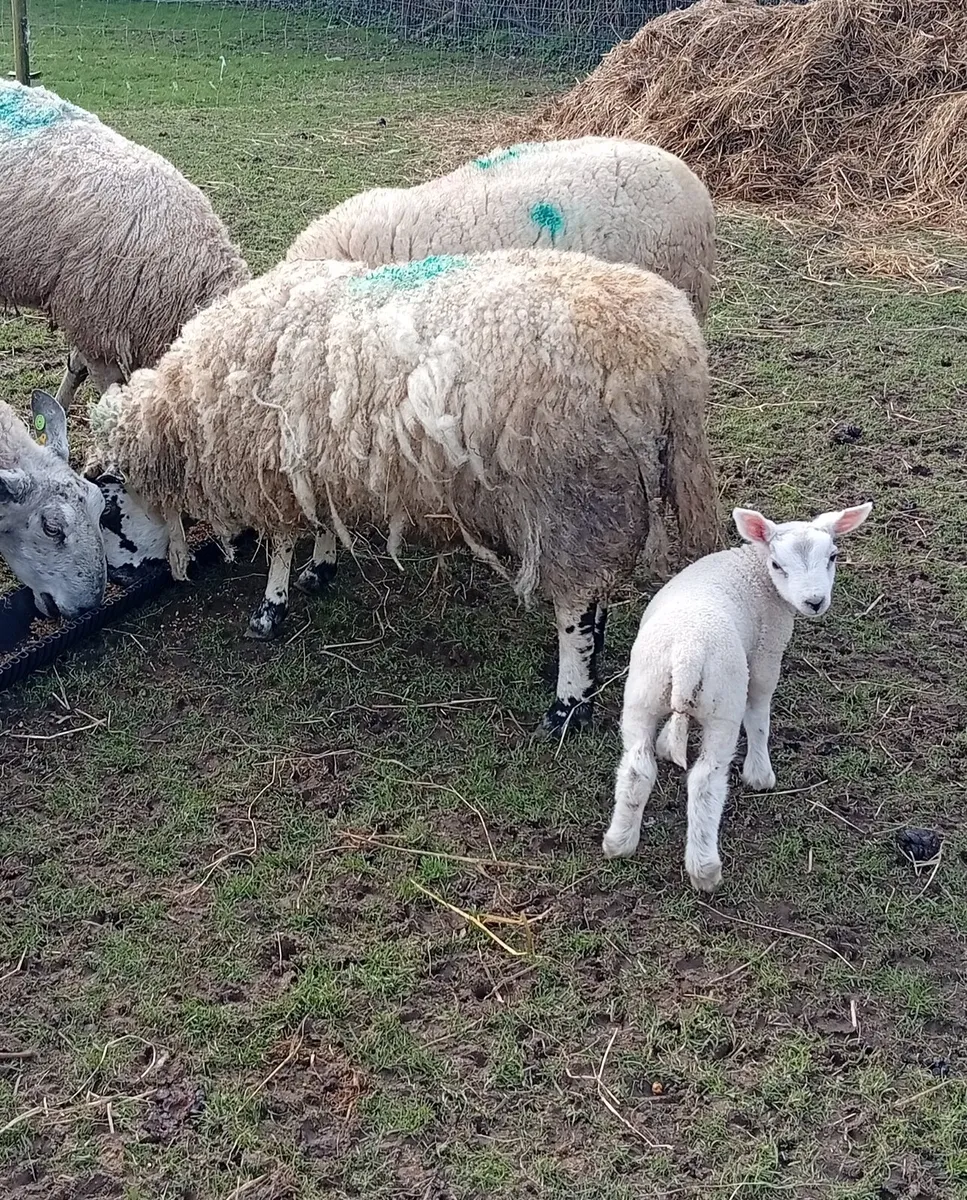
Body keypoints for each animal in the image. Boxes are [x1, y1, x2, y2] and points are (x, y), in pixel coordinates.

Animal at [78, 248, 719, 733]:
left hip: (571, 492)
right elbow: (322, 522)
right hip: (599, 502)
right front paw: (321, 569)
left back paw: (566, 706)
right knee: (594, 595)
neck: (186, 408)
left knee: (576, 611)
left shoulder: (275, 467)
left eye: (107, 513)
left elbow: (282, 541)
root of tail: (670, 352)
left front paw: (269, 610)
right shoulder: (315, 461)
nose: (119, 587)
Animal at [602, 501, 873, 889]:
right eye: (778, 565)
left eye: (833, 556)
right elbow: (759, 711)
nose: (815, 601)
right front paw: (760, 773)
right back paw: (704, 868)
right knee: (705, 781)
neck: (753, 567)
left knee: (637, 767)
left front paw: (668, 744)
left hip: (643, 690)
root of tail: (687, 654)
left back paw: (620, 842)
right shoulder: (766, 651)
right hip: (722, 705)